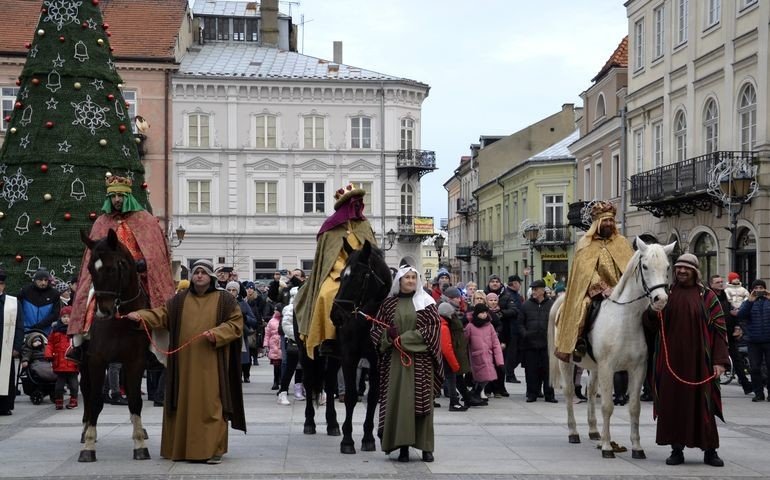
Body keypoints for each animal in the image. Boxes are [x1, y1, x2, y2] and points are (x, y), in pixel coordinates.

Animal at [77, 229, 151, 462]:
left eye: (111, 268)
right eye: (90, 268)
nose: (103, 312)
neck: (121, 320)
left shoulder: (136, 361)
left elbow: (135, 401)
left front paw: (140, 444)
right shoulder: (97, 360)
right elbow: (95, 401)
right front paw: (89, 446)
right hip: (83, 363)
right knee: (87, 392)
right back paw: (85, 430)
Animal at [294, 240, 390, 454]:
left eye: (360, 276)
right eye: (342, 276)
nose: (336, 315)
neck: (366, 319)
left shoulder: (376, 361)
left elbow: (373, 397)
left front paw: (368, 438)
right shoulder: (349, 357)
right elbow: (351, 396)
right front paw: (348, 440)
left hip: (333, 358)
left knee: (329, 383)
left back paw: (332, 424)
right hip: (306, 352)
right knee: (309, 381)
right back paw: (309, 422)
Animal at [544, 238, 672, 460]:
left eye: (667, 267)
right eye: (645, 266)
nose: (660, 300)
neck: (626, 320)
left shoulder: (638, 369)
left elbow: (634, 407)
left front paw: (636, 447)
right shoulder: (607, 367)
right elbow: (607, 406)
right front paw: (606, 447)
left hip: (594, 367)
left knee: (591, 391)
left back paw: (594, 431)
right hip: (566, 362)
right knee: (569, 392)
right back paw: (573, 432)